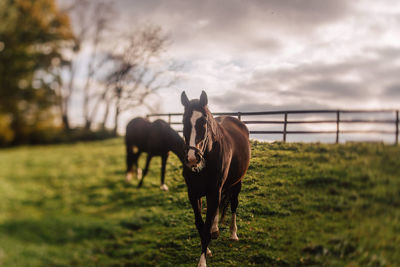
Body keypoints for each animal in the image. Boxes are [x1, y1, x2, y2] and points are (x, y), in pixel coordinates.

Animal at [180, 91, 250, 266]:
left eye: (204, 122)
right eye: (183, 122)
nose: (192, 158)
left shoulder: (213, 192)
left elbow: (206, 225)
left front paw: (202, 261)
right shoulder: (193, 194)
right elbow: (200, 225)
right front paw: (208, 249)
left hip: (237, 183)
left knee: (233, 205)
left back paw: (233, 233)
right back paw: (216, 229)